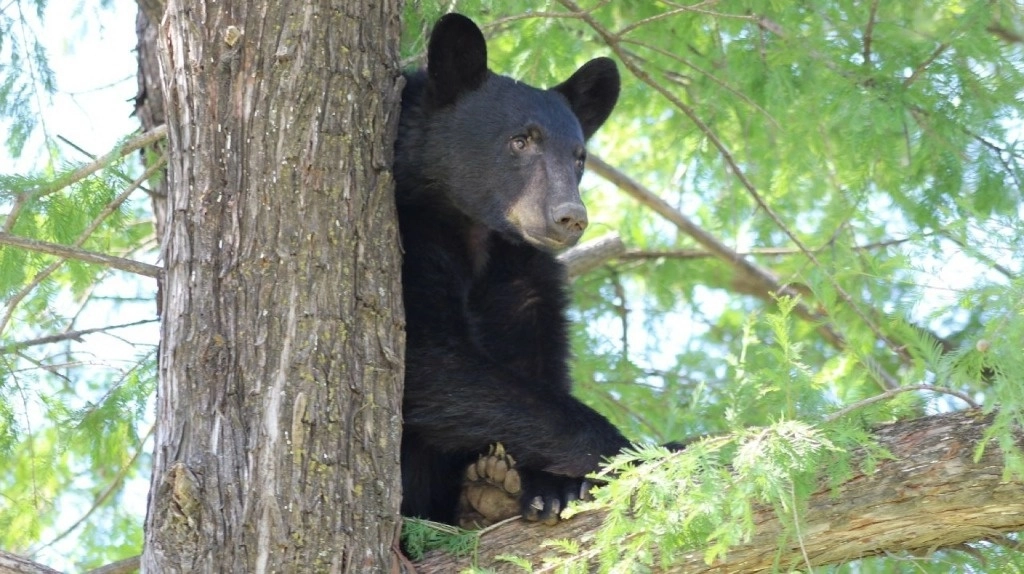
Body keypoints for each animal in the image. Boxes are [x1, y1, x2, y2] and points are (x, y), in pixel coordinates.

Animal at [394, 13, 630, 526]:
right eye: (520, 140)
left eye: (579, 157)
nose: (569, 217)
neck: (477, 232)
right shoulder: (412, 236)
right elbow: (429, 356)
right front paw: (627, 452)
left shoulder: (520, 272)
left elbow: (535, 355)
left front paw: (551, 485)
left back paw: (488, 490)